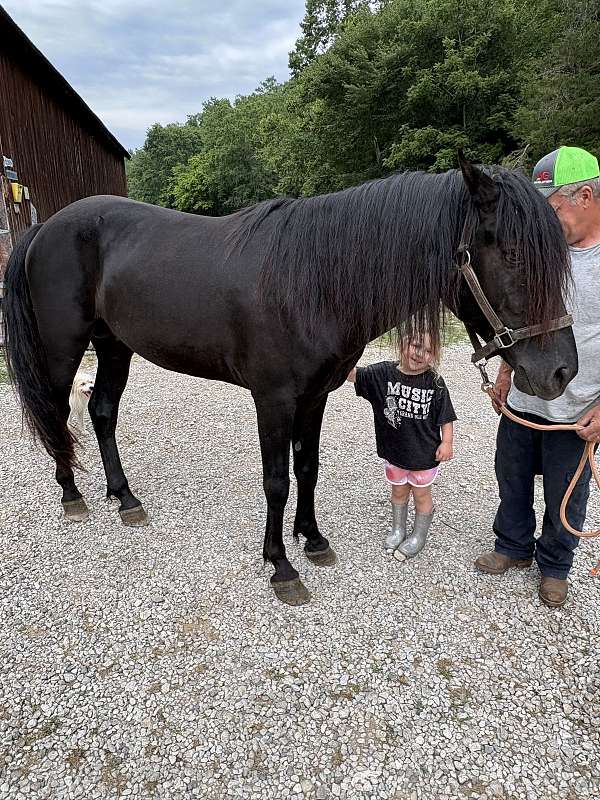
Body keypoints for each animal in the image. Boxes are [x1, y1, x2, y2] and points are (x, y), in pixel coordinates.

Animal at [2, 155, 577, 605]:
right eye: (513, 254)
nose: (561, 372)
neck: (312, 280)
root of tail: (44, 228)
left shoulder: (314, 396)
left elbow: (307, 468)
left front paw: (313, 539)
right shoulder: (274, 399)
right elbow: (276, 480)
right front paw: (281, 566)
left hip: (114, 345)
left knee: (101, 412)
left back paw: (125, 498)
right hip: (63, 350)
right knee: (58, 415)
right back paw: (72, 494)